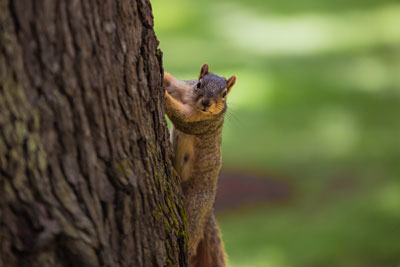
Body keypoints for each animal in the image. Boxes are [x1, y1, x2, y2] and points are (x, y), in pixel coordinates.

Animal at [163, 63, 236, 266]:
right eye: (199, 84)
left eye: (224, 94)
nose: (206, 103)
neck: (192, 101)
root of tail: (208, 212)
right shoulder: (182, 88)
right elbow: (171, 83)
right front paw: (162, 74)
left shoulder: (203, 122)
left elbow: (181, 117)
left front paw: (163, 95)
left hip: (194, 207)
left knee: (192, 237)